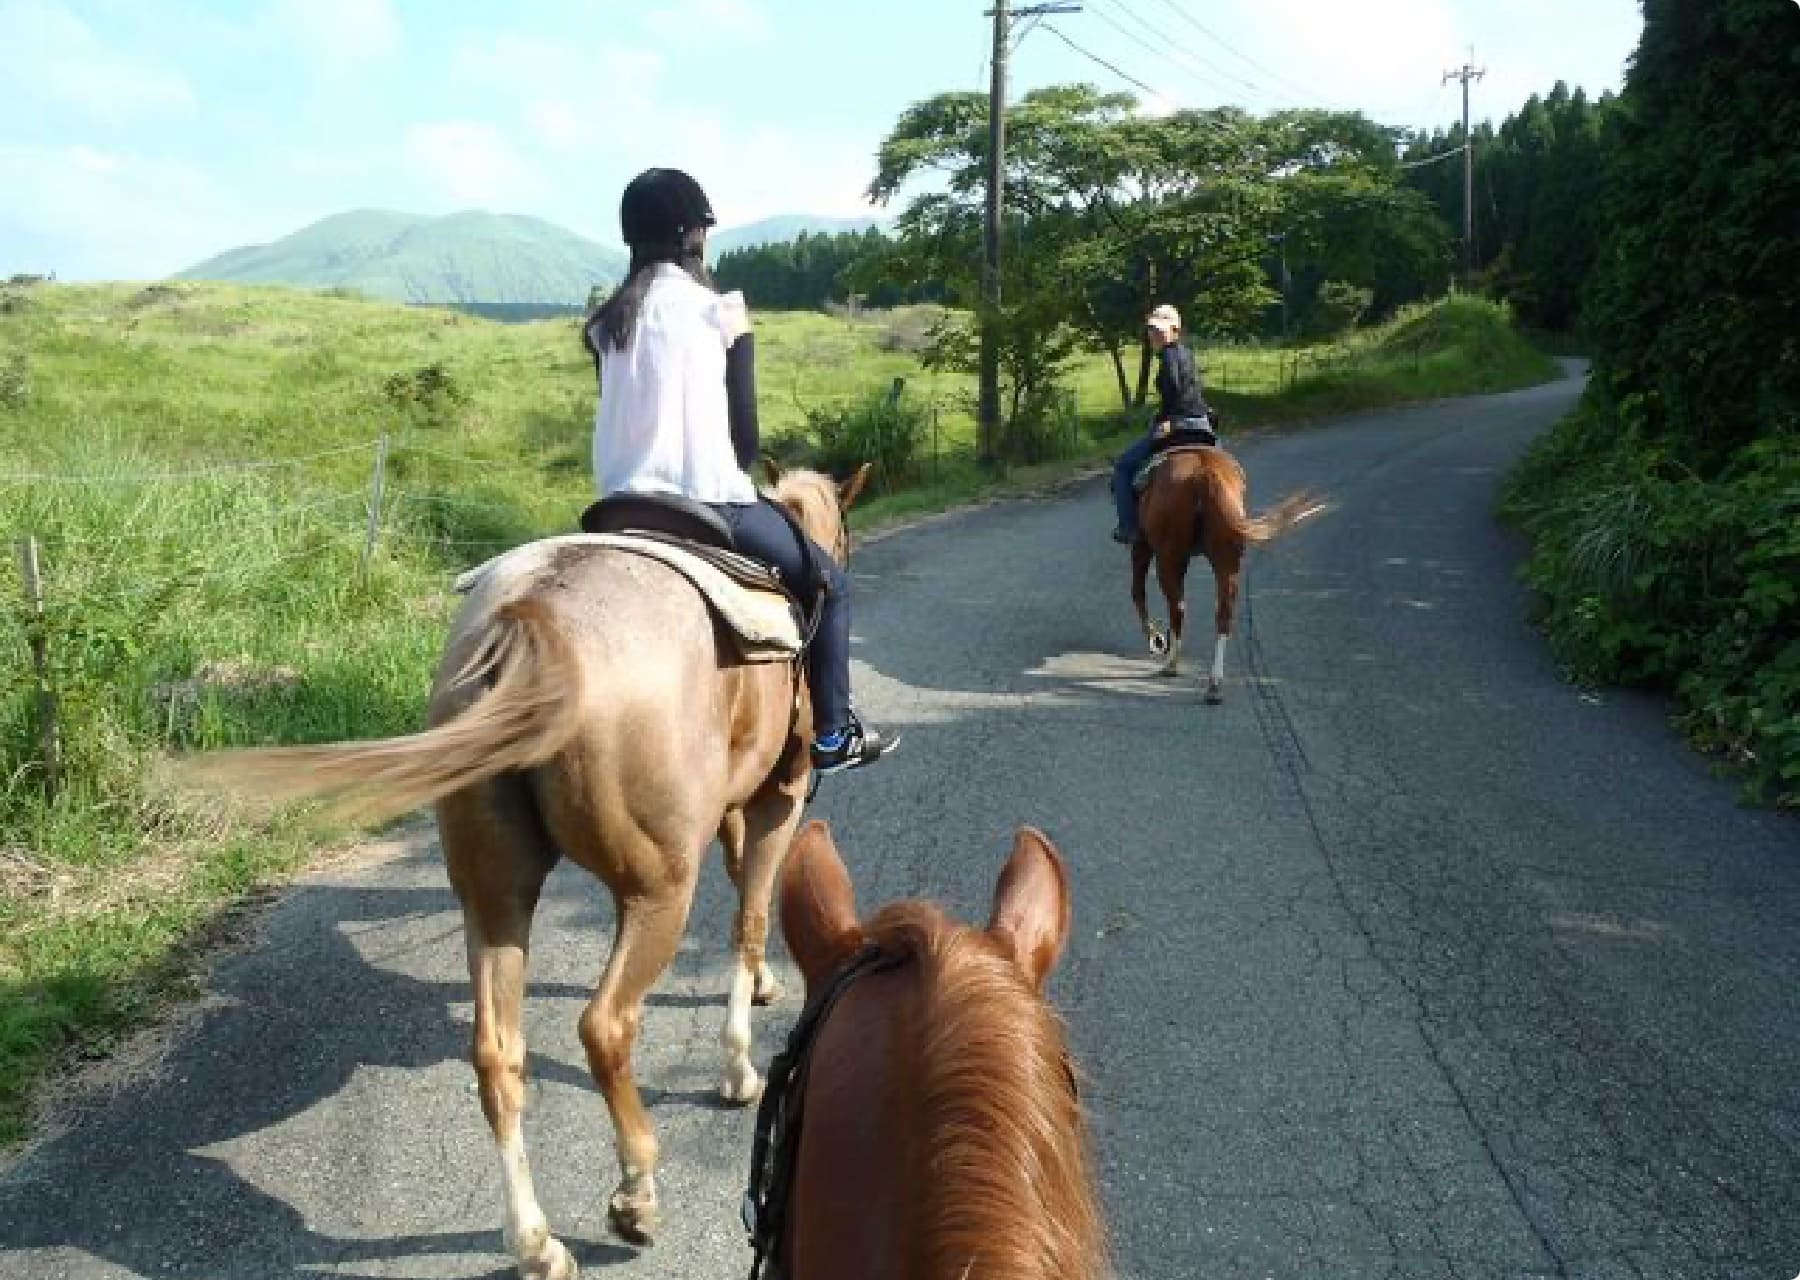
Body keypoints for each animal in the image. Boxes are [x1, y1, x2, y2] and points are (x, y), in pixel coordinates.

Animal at [180, 468, 864, 1280]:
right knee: (605, 1026)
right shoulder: (777, 800)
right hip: (656, 890)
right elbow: (752, 914)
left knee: (497, 1056)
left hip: (494, 892)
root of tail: (533, 619)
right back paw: (635, 1193)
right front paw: (738, 1066)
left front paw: (759, 989)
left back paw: (537, 1243)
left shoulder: (741, 802)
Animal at [1123, 442, 1324, 702]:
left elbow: (1137, 591)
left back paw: (1172, 665)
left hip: (1169, 558)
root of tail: (1203, 474)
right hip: (1226, 562)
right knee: (1223, 614)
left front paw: (1155, 639)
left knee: (1177, 607)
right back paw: (1214, 683)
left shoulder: (1141, 545)